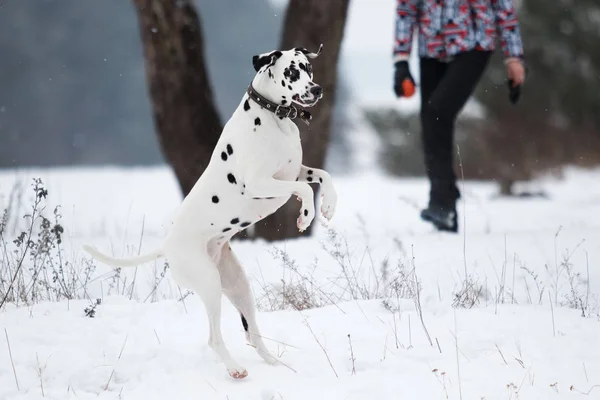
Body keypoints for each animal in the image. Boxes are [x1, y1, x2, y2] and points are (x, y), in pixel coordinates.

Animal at [82, 45, 338, 380]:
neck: (272, 116)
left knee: (251, 332)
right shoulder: (260, 183)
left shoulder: (294, 172)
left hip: (238, 286)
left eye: (308, 67)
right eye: (292, 72)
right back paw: (235, 369)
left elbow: (322, 176)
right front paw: (306, 214)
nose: (317, 89)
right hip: (209, 284)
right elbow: (305, 189)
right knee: (215, 338)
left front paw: (329, 204)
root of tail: (167, 246)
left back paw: (274, 363)